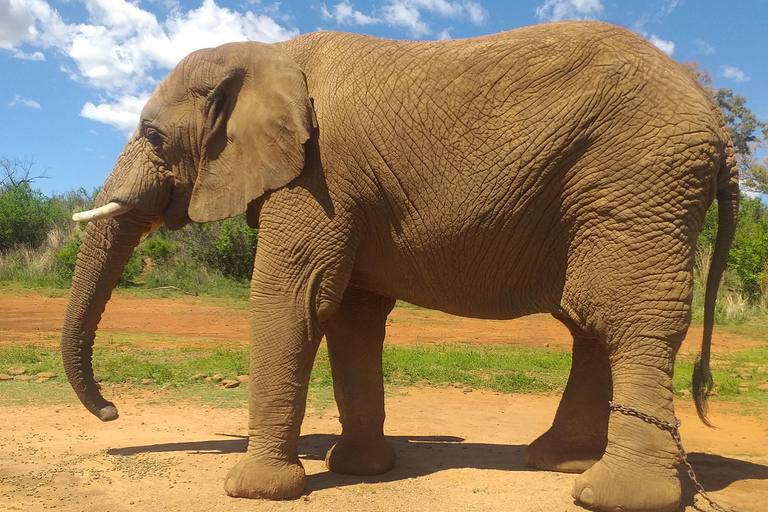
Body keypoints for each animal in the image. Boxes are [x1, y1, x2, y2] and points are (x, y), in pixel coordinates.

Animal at [61, 21, 738, 512]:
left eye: (152, 137)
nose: (112, 411)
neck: (269, 54)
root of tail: (719, 123)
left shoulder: (319, 176)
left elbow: (292, 297)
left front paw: (254, 491)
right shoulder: (344, 189)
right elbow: (350, 314)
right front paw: (360, 470)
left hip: (639, 180)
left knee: (626, 316)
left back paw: (611, 496)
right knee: (589, 322)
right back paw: (555, 463)